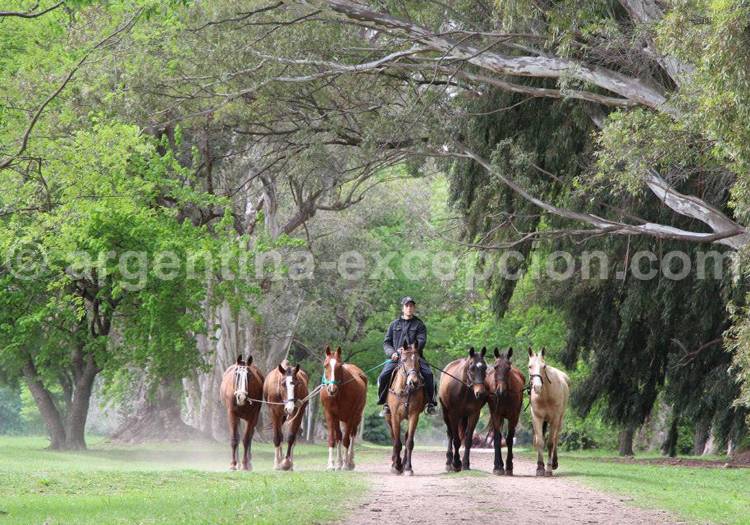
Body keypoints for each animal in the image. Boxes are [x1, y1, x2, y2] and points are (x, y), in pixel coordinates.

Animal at [385, 341, 427, 475]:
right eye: (403, 360)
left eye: (418, 360)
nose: (413, 382)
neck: (405, 390)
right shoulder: (395, 416)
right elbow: (397, 442)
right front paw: (396, 466)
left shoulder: (414, 416)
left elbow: (409, 442)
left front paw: (408, 468)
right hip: (388, 417)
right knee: (393, 438)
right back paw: (395, 461)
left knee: (406, 437)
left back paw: (403, 464)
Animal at [486, 347, 525, 475]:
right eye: (496, 367)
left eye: (508, 368)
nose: (500, 391)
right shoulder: (496, 415)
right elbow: (497, 439)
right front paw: (498, 467)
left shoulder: (514, 417)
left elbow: (509, 440)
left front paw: (508, 466)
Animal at [528, 347, 570, 476]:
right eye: (530, 366)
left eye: (544, 366)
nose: (537, 387)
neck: (545, 396)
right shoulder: (537, 417)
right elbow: (540, 441)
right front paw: (540, 467)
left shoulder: (554, 419)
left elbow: (550, 443)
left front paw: (549, 468)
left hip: (560, 419)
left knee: (556, 438)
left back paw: (554, 463)